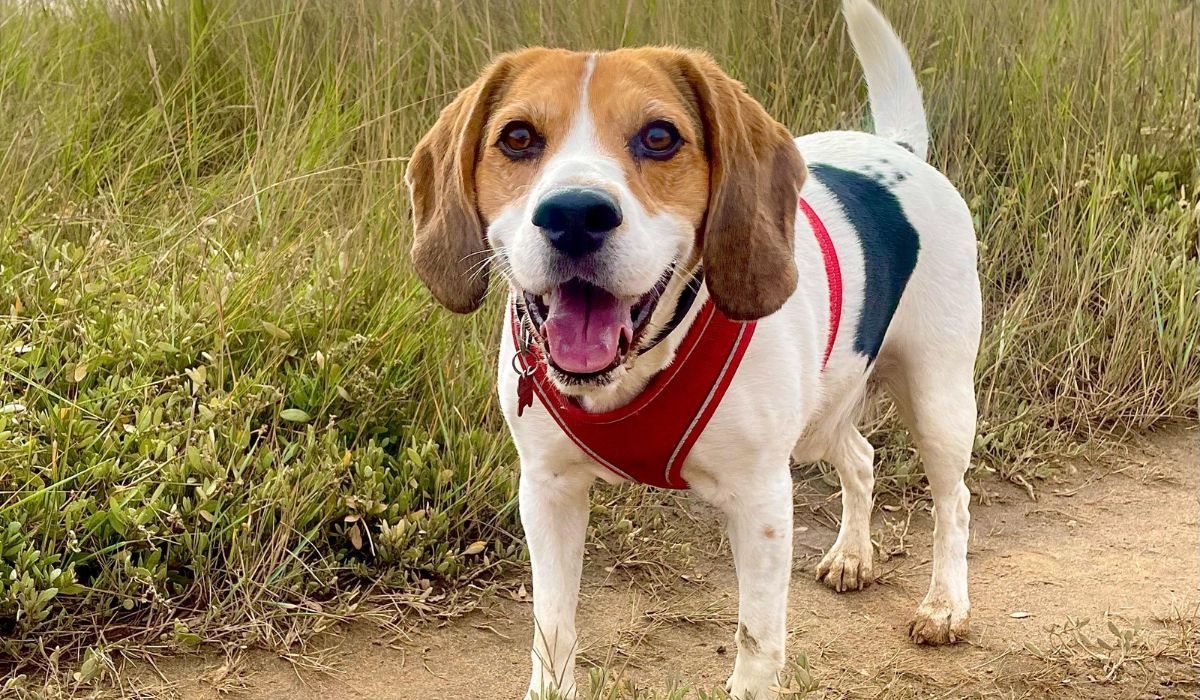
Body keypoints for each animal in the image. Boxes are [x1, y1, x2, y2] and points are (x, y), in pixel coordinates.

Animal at [408, 2, 979, 696]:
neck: (640, 363)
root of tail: (896, 149)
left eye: (660, 137)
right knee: (862, 457)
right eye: (517, 138)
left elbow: (757, 646)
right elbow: (553, 631)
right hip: (824, 409)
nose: (573, 215)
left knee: (954, 502)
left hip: (939, 399)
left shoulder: (762, 503)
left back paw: (944, 604)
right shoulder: (548, 490)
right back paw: (851, 555)